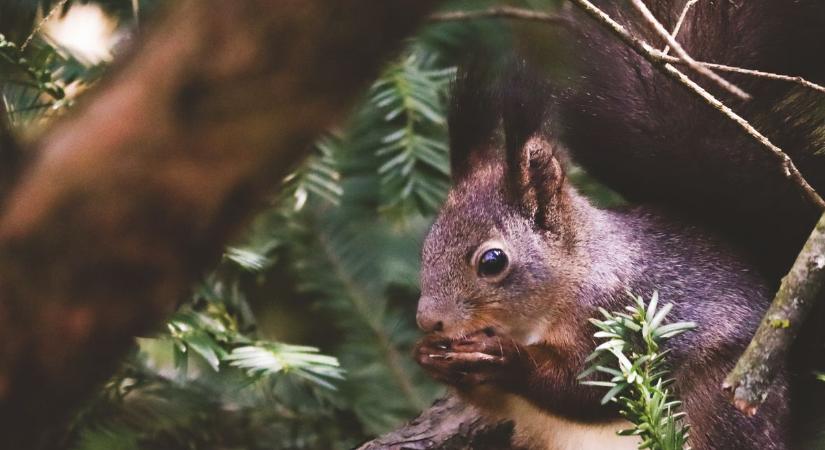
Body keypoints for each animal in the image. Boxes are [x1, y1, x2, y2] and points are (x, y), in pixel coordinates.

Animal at [416, 1, 824, 448]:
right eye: (427, 245)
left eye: (492, 261)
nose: (427, 321)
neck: (580, 270)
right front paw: (429, 356)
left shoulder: (622, 317)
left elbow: (584, 387)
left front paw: (506, 358)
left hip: (721, 406)